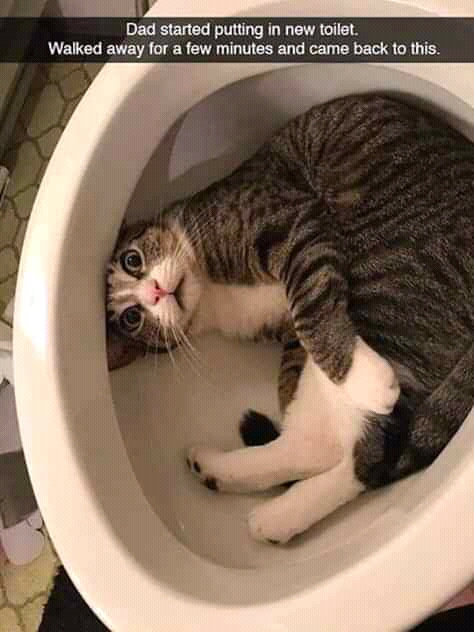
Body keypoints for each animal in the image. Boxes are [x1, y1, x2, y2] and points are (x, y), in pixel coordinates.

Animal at [106, 93, 474, 544]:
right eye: (131, 318)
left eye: (133, 260)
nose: (156, 292)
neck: (208, 295)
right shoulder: (285, 331)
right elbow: (305, 345)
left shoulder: (293, 224)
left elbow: (313, 314)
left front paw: (367, 380)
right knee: (337, 449)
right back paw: (236, 486)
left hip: (391, 282)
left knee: (362, 455)